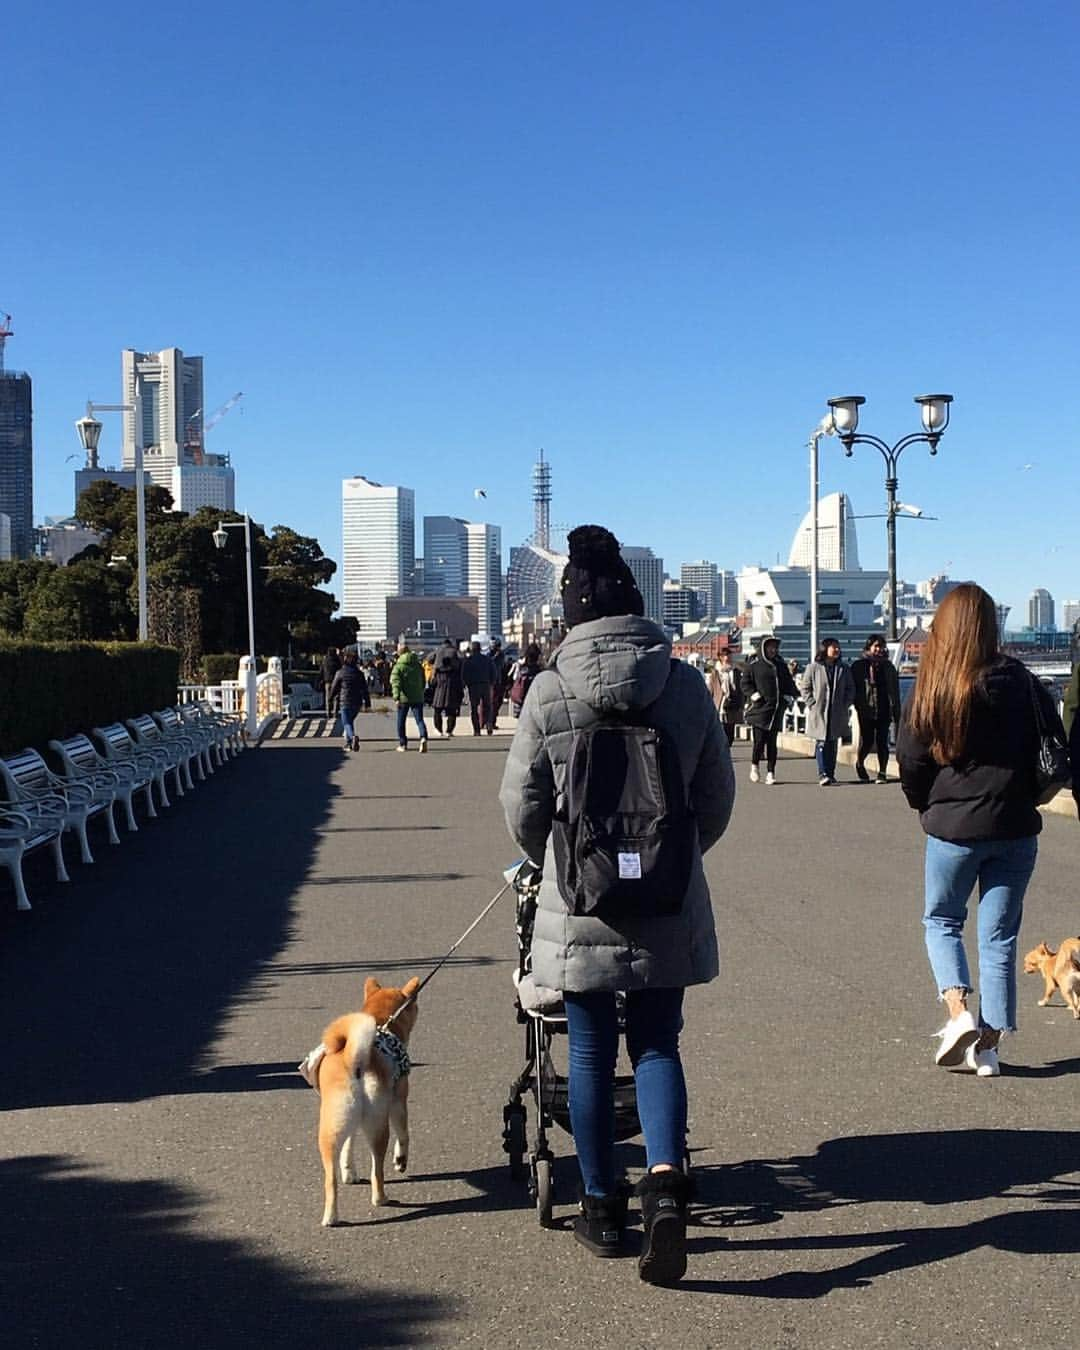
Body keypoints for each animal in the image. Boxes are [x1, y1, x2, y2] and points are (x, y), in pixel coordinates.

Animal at [306, 977, 423, 1231]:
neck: (381, 1020)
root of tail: (353, 1059)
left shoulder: (352, 1124)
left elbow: (349, 1146)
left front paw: (349, 1173)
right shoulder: (399, 1101)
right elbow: (404, 1136)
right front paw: (400, 1161)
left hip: (331, 1129)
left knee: (330, 1180)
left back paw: (331, 1217)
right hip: (379, 1125)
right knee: (377, 1170)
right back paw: (381, 1198)